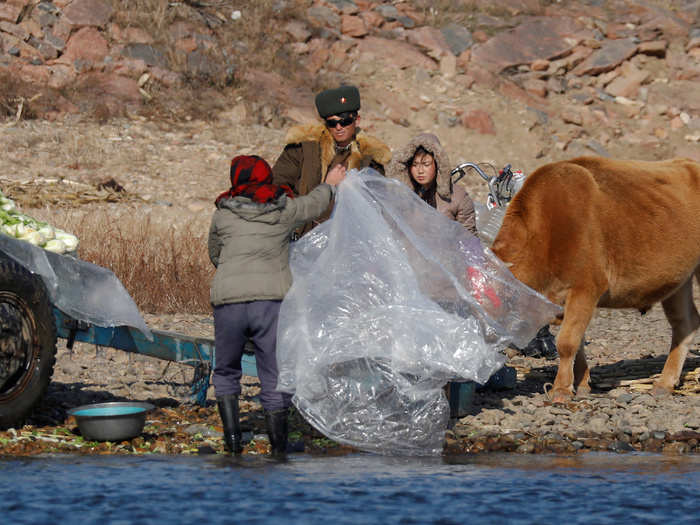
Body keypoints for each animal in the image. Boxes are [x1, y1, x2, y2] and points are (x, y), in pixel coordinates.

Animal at [490, 156, 700, 402]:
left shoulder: (586, 288)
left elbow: (567, 342)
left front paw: (560, 390)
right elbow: (578, 342)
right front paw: (581, 384)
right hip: (678, 282)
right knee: (685, 324)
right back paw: (664, 383)